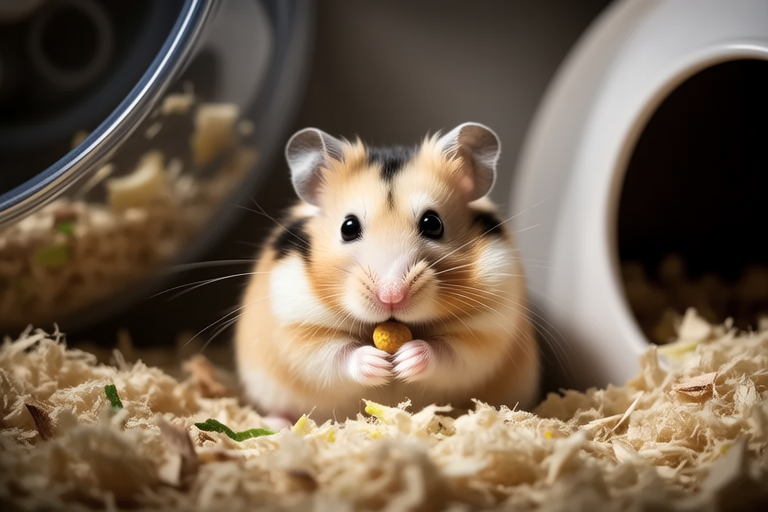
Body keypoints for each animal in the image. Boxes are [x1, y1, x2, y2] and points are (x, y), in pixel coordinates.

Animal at [235, 122, 540, 424]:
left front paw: (406, 359)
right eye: (348, 227)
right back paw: (275, 422)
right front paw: (378, 364)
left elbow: (451, 354)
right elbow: (334, 356)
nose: (391, 296)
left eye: (433, 223)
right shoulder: (298, 326)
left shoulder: (488, 327)